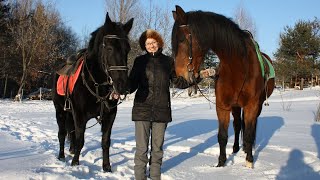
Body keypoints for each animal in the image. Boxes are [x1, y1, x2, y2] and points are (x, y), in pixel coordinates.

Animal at [53, 13, 133, 172]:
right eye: (109, 48)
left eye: (127, 49)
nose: (122, 86)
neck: (96, 84)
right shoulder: (79, 115)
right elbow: (80, 139)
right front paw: (75, 164)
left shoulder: (109, 116)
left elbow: (105, 141)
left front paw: (107, 167)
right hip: (60, 111)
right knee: (62, 134)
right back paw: (62, 156)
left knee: (70, 132)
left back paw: (71, 151)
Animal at [172, 5, 276, 169]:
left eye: (182, 40)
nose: (178, 79)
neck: (238, 66)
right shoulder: (222, 105)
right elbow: (222, 135)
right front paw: (221, 164)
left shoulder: (252, 105)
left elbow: (248, 133)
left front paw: (249, 162)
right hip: (236, 106)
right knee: (238, 125)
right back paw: (236, 148)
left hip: (257, 106)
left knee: (251, 128)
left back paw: (248, 150)